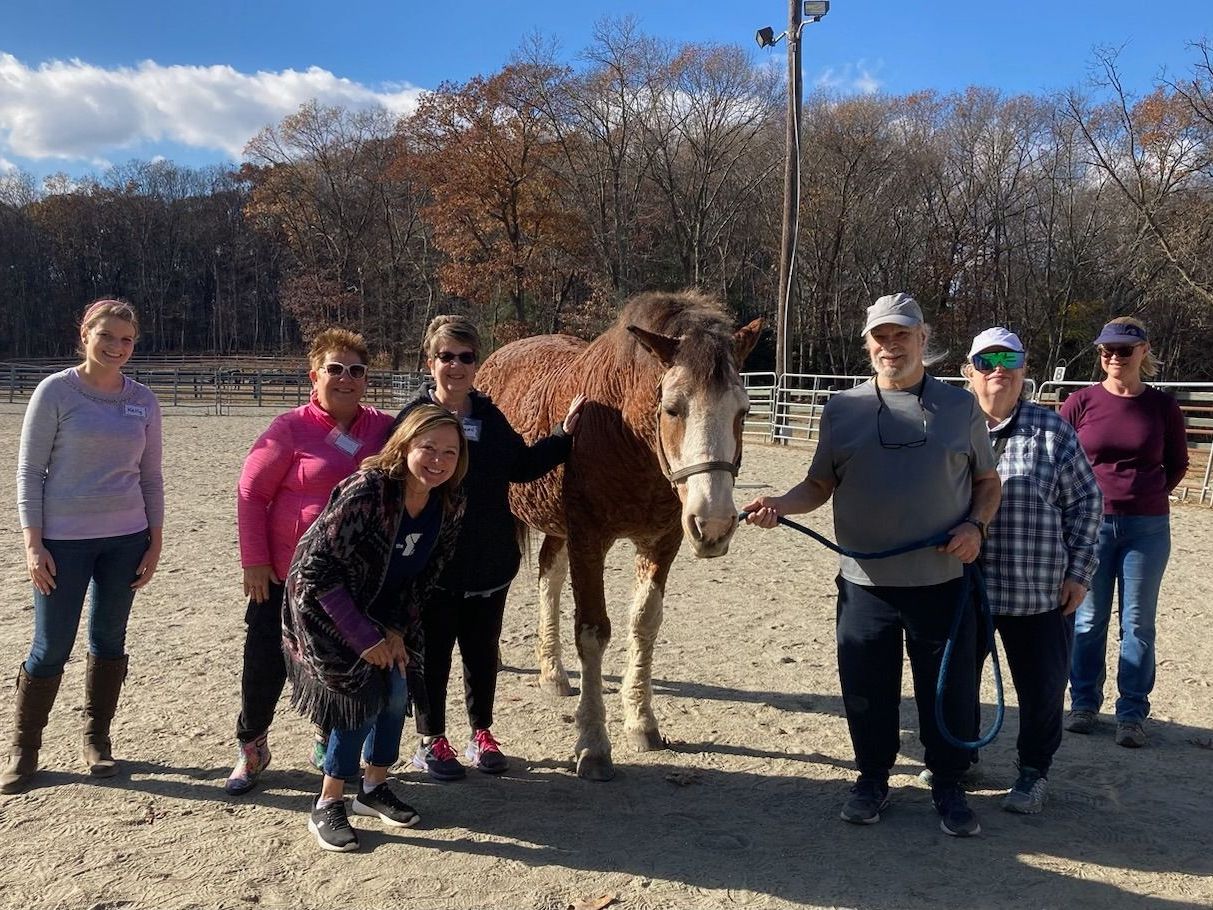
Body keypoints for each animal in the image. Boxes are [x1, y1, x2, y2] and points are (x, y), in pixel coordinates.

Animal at [473, 292, 756, 786]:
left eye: (742, 412)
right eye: (673, 408)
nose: (715, 524)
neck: (622, 429)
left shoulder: (662, 542)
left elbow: (644, 623)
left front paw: (641, 722)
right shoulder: (590, 540)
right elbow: (593, 632)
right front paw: (593, 745)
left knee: (549, 576)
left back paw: (552, 672)